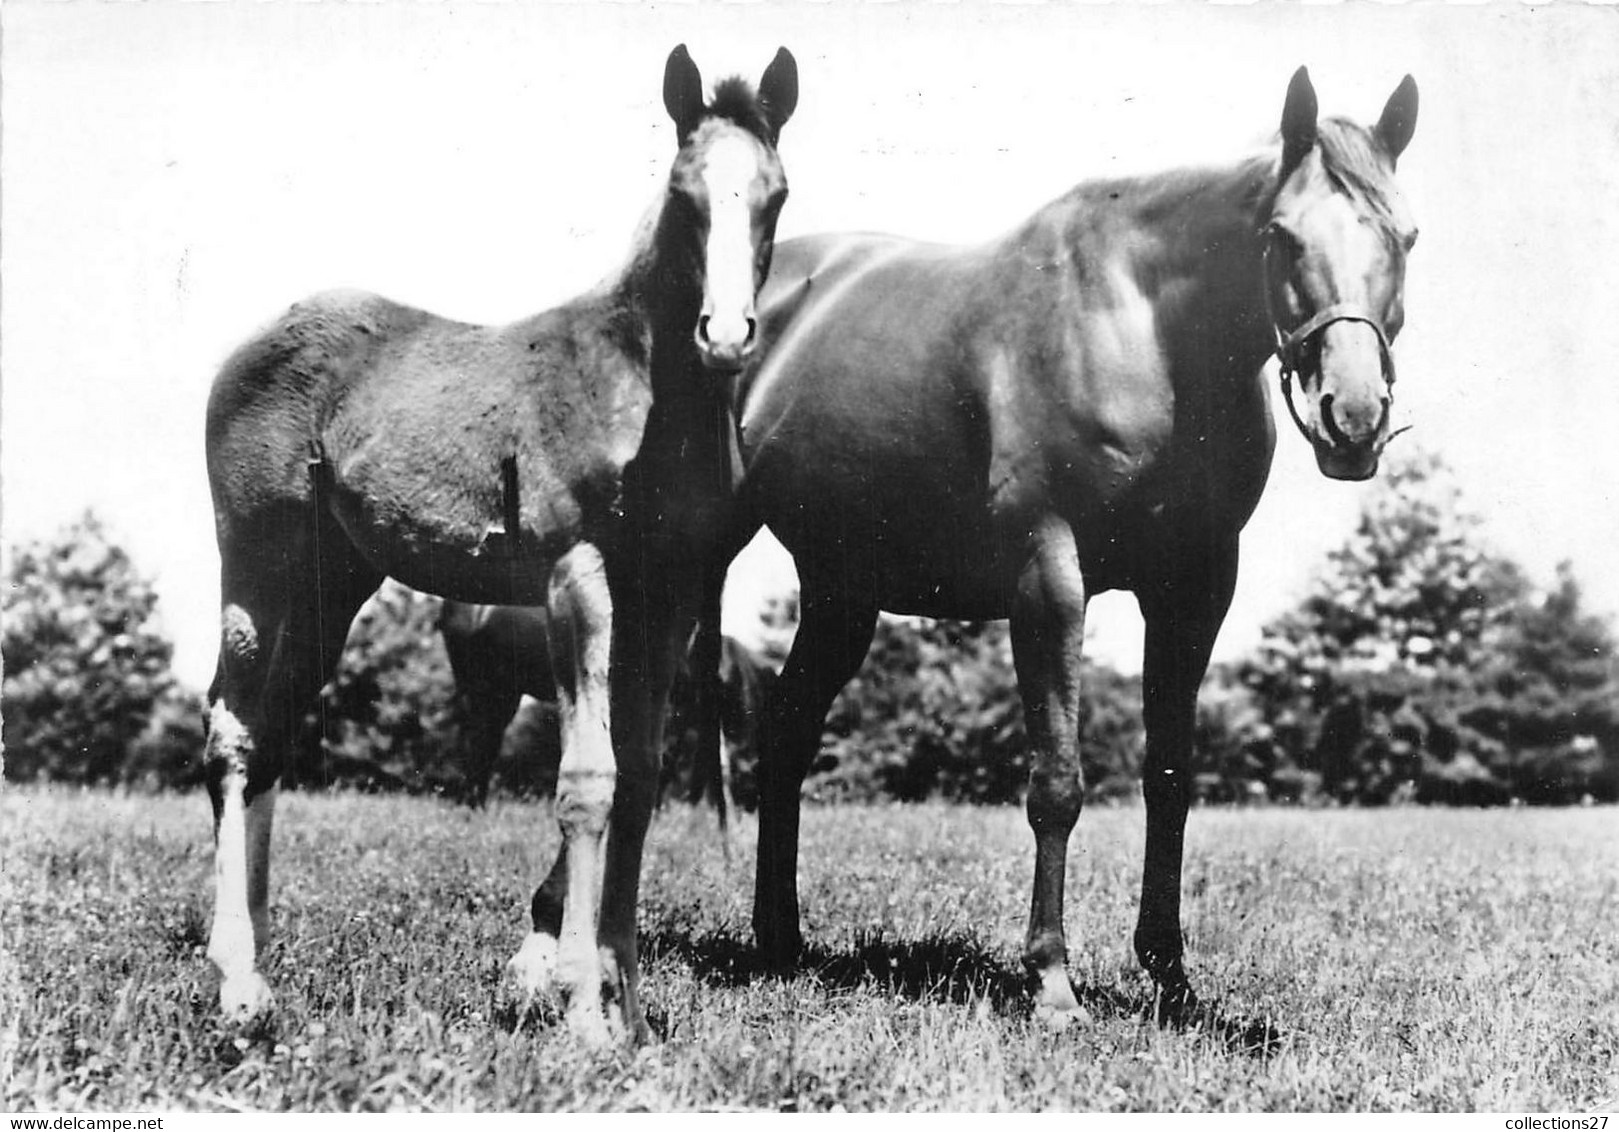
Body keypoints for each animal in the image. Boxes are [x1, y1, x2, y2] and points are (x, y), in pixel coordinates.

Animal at [735, 68, 1418, 1029]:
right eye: (1281, 237)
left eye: (1405, 235)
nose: (1351, 420)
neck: (1146, 329)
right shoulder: (1048, 576)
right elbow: (1056, 782)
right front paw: (1053, 984)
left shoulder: (1194, 589)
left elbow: (1168, 776)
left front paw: (1169, 975)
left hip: (842, 592)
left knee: (787, 730)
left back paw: (780, 941)